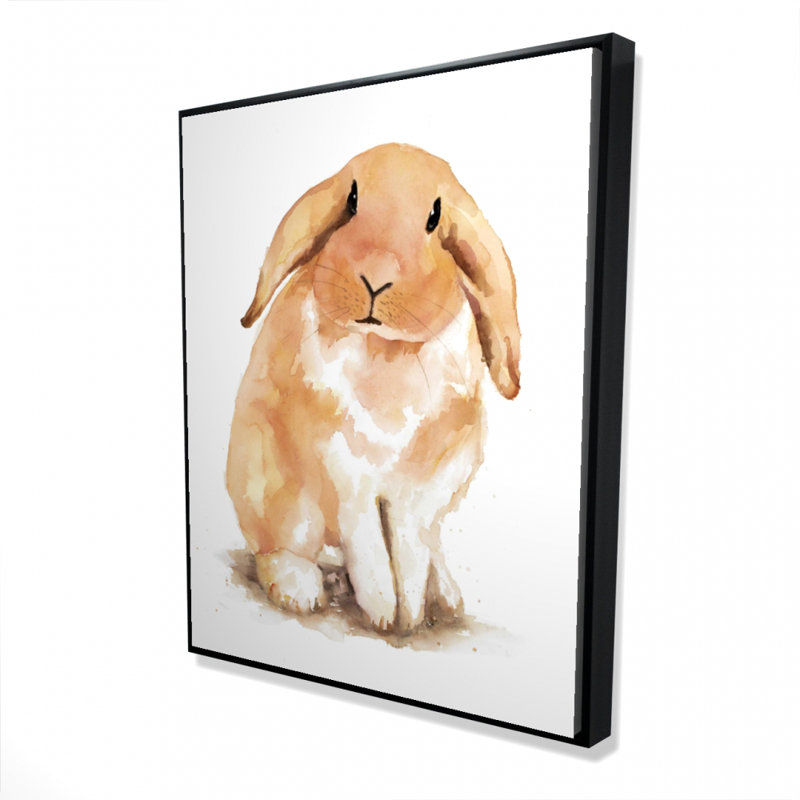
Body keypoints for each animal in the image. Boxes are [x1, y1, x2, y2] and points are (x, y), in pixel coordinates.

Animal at [226, 143, 521, 634]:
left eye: (435, 217)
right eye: (351, 201)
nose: (374, 278)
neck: (387, 350)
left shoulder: (425, 488)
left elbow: (408, 549)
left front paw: (411, 616)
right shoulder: (347, 473)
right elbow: (368, 547)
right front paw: (384, 613)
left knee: (427, 547)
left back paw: (445, 596)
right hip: (275, 491)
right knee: (283, 547)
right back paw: (300, 590)